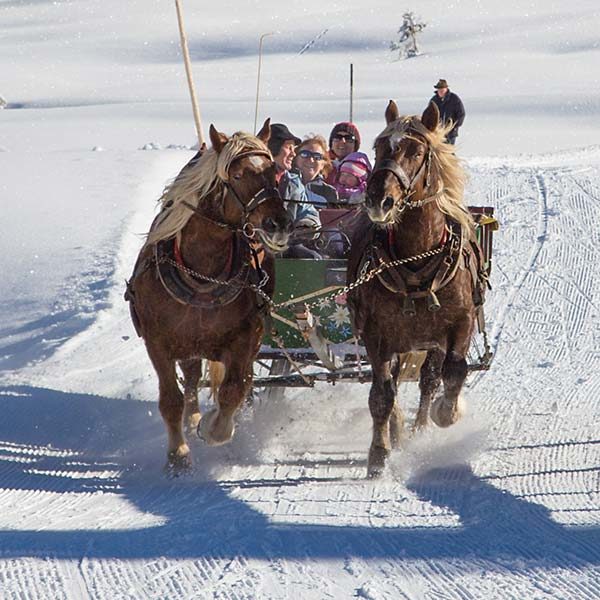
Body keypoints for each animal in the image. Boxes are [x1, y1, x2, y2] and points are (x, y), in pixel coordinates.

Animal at [127, 119, 292, 472]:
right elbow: (170, 400)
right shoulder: (158, 342)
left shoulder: (246, 338)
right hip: (187, 343)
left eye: (273, 171)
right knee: (190, 380)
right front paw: (178, 455)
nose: (280, 224)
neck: (202, 275)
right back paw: (192, 420)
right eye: (238, 175)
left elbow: (234, 390)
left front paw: (215, 429)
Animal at [344, 102, 486, 478]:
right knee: (395, 383)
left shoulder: (460, 324)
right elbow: (381, 395)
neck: (416, 258)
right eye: (379, 146)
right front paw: (378, 454)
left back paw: (422, 425)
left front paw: (446, 413)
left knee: (430, 379)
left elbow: (454, 373)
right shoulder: (377, 335)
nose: (378, 200)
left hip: (429, 342)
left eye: (416, 151)